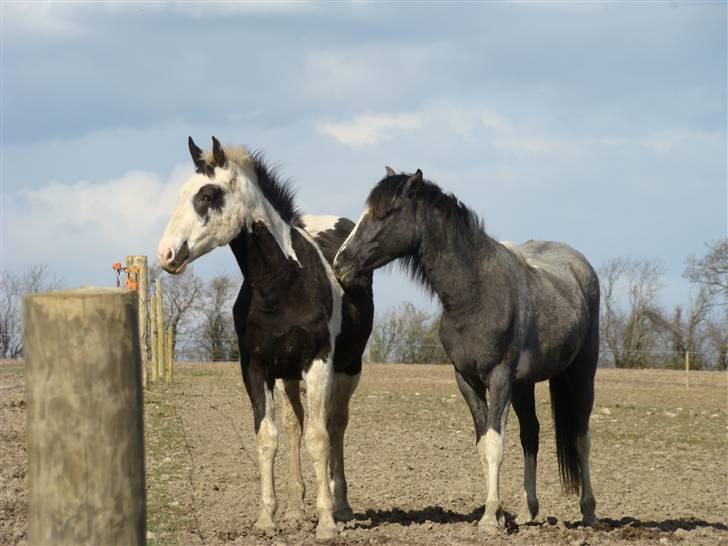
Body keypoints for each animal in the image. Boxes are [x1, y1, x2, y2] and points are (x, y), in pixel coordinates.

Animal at [156, 136, 372, 536]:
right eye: (182, 193)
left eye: (208, 194)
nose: (167, 254)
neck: (282, 283)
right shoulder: (256, 367)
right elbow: (268, 436)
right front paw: (267, 517)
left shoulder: (318, 363)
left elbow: (319, 437)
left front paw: (326, 523)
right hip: (288, 376)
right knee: (294, 425)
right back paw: (296, 510)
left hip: (348, 368)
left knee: (335, 425)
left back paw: (341, 505)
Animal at [332, 168, 600, 528]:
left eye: (387, 212)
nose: (340, 263)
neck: (476, 293)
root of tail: (578, 264)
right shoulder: (467, 379)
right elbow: (484, 444)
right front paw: (495, 513)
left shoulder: (499, 379)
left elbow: (496, 444)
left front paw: (489, 519)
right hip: (525, 385)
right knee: (531, 435)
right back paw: (528, 511)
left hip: (581, 372)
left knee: (582, 438)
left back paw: (589, 511)